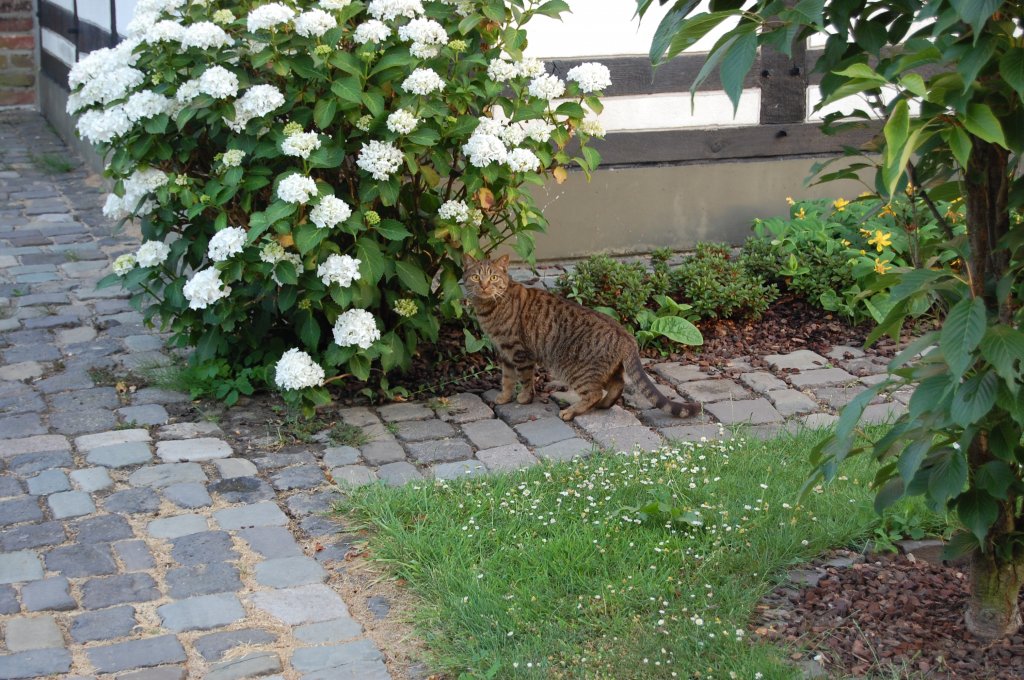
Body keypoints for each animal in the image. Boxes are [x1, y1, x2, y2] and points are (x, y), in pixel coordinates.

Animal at [466, 251, 700, 419]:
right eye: (476, 277)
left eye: (493, 277)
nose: (484, 286)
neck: (489, 307)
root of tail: (626, 336)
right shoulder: (504, 352)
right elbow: (507, 379)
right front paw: (504, 397)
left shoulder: (519, 351)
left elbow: (523, 379)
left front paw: (523, 398)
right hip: (608, 370)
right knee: (617, 385)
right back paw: (604, 405)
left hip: (577, 371)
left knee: (594, 393)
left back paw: (571, 412)